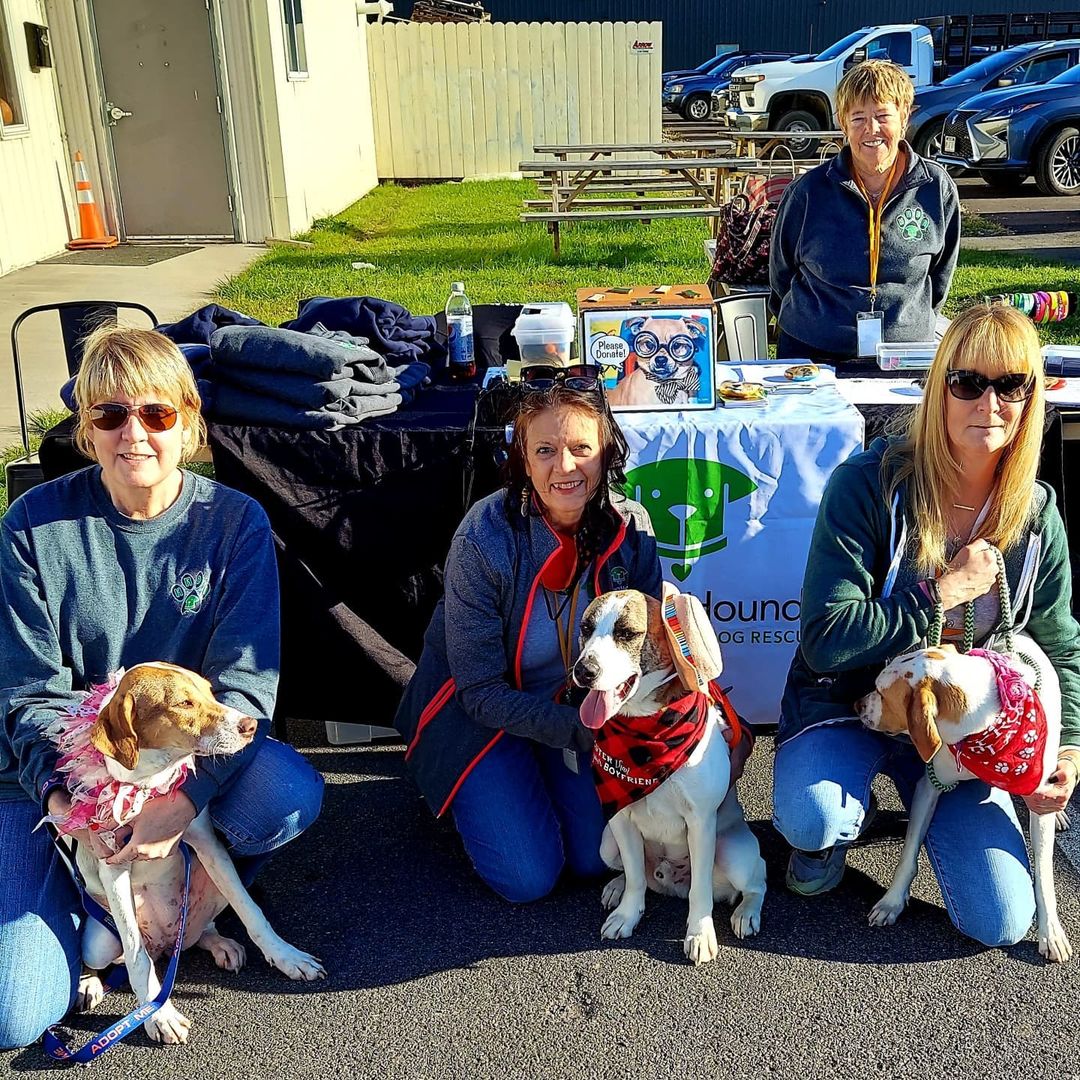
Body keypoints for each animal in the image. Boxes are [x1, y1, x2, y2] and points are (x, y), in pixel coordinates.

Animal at [570, 591, 764, 963]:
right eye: (586, 628)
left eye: (627, 633)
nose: (584, 671)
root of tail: (670, 881)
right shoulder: (620, 816)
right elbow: (634, 878)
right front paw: (627, 914)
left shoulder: (701, 822)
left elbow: (700, 891)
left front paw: (700, 934)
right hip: (606, 843)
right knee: (638, 875)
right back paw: (617, 887)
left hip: (732, 852)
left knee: (756, 881)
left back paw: (747, 913)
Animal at [851, 630, 1071, 963]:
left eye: (881, 692)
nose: (857, 704)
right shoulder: (929, 785)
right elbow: (909, 853)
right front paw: (892, 901)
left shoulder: (1039, 797)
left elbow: (1044, 877)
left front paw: (1051, 932)